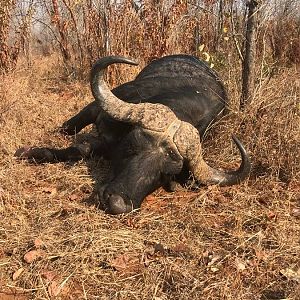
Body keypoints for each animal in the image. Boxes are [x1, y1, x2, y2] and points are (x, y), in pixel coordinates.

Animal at [14, 54, 251, 213]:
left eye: (166, 173)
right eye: (131, 146)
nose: (117, 204)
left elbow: (85, 149)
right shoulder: (99, 112)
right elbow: (79, 146)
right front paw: (31, 152)